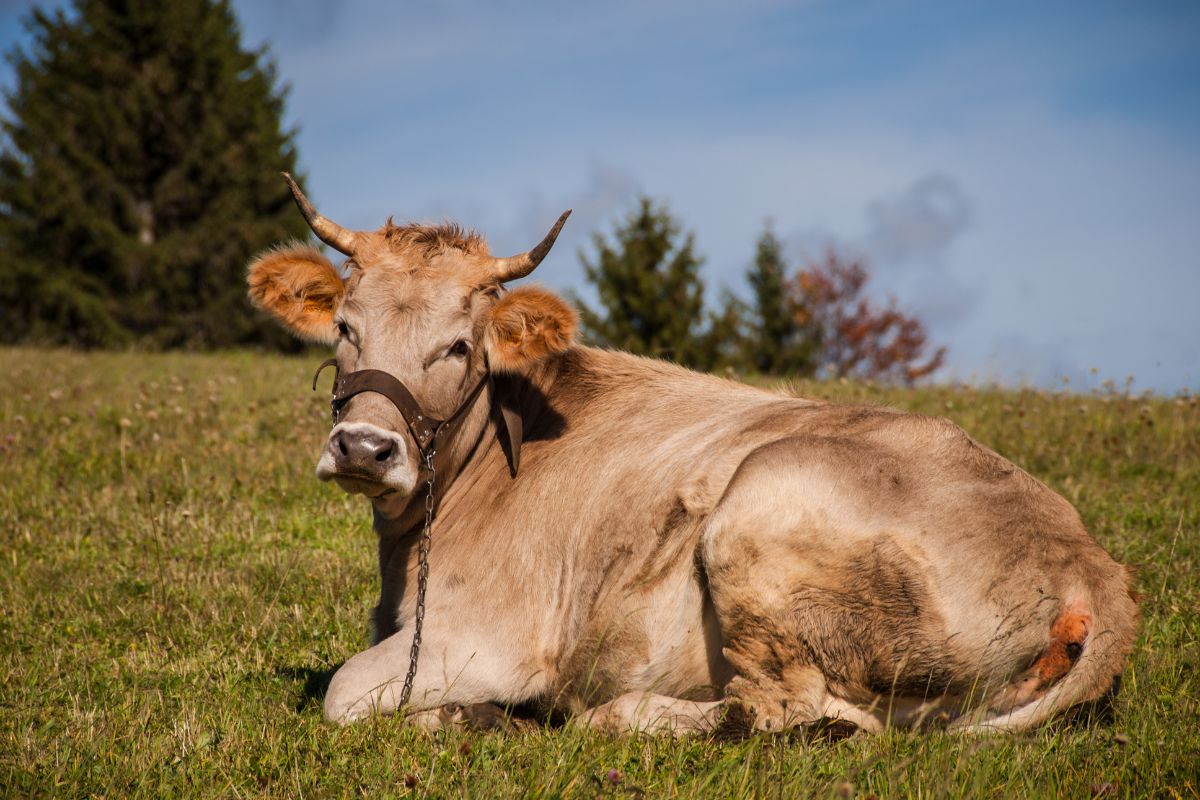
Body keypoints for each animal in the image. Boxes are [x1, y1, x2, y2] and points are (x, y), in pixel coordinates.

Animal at [243, 176, 1132, 738]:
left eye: (460, 346)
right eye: (346, 326)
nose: (365, 446)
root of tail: (1093, 565)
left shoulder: (489, 637)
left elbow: (342, 691)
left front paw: (465, 715)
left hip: (760, 512)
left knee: (794, 713)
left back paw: (590, 716)